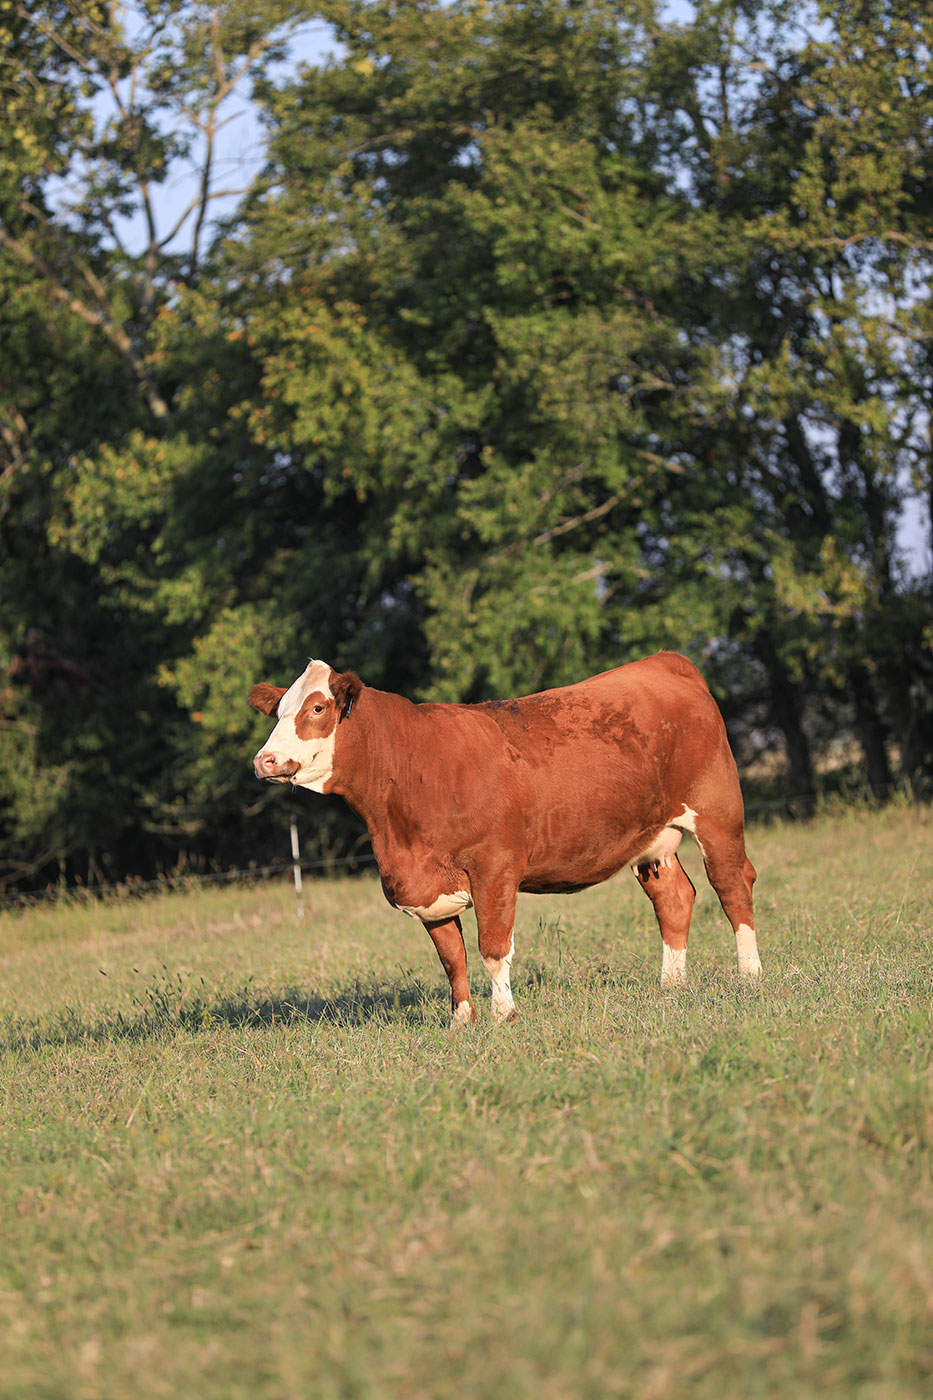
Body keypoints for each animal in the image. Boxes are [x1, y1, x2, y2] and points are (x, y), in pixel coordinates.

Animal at [248, 652, 760, 1025]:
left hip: (718, 813)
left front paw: (503, 1016)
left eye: (318, 708)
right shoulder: (427, 886)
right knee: (674, 898)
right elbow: (452, 959)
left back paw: (749, 976)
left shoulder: (494, 867)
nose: (264, 760)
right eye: (278, 712)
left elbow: (493, 948)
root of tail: (665, 661)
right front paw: (461, 1022)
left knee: (732, 886)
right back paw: (671, 986)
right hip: (653, 838)